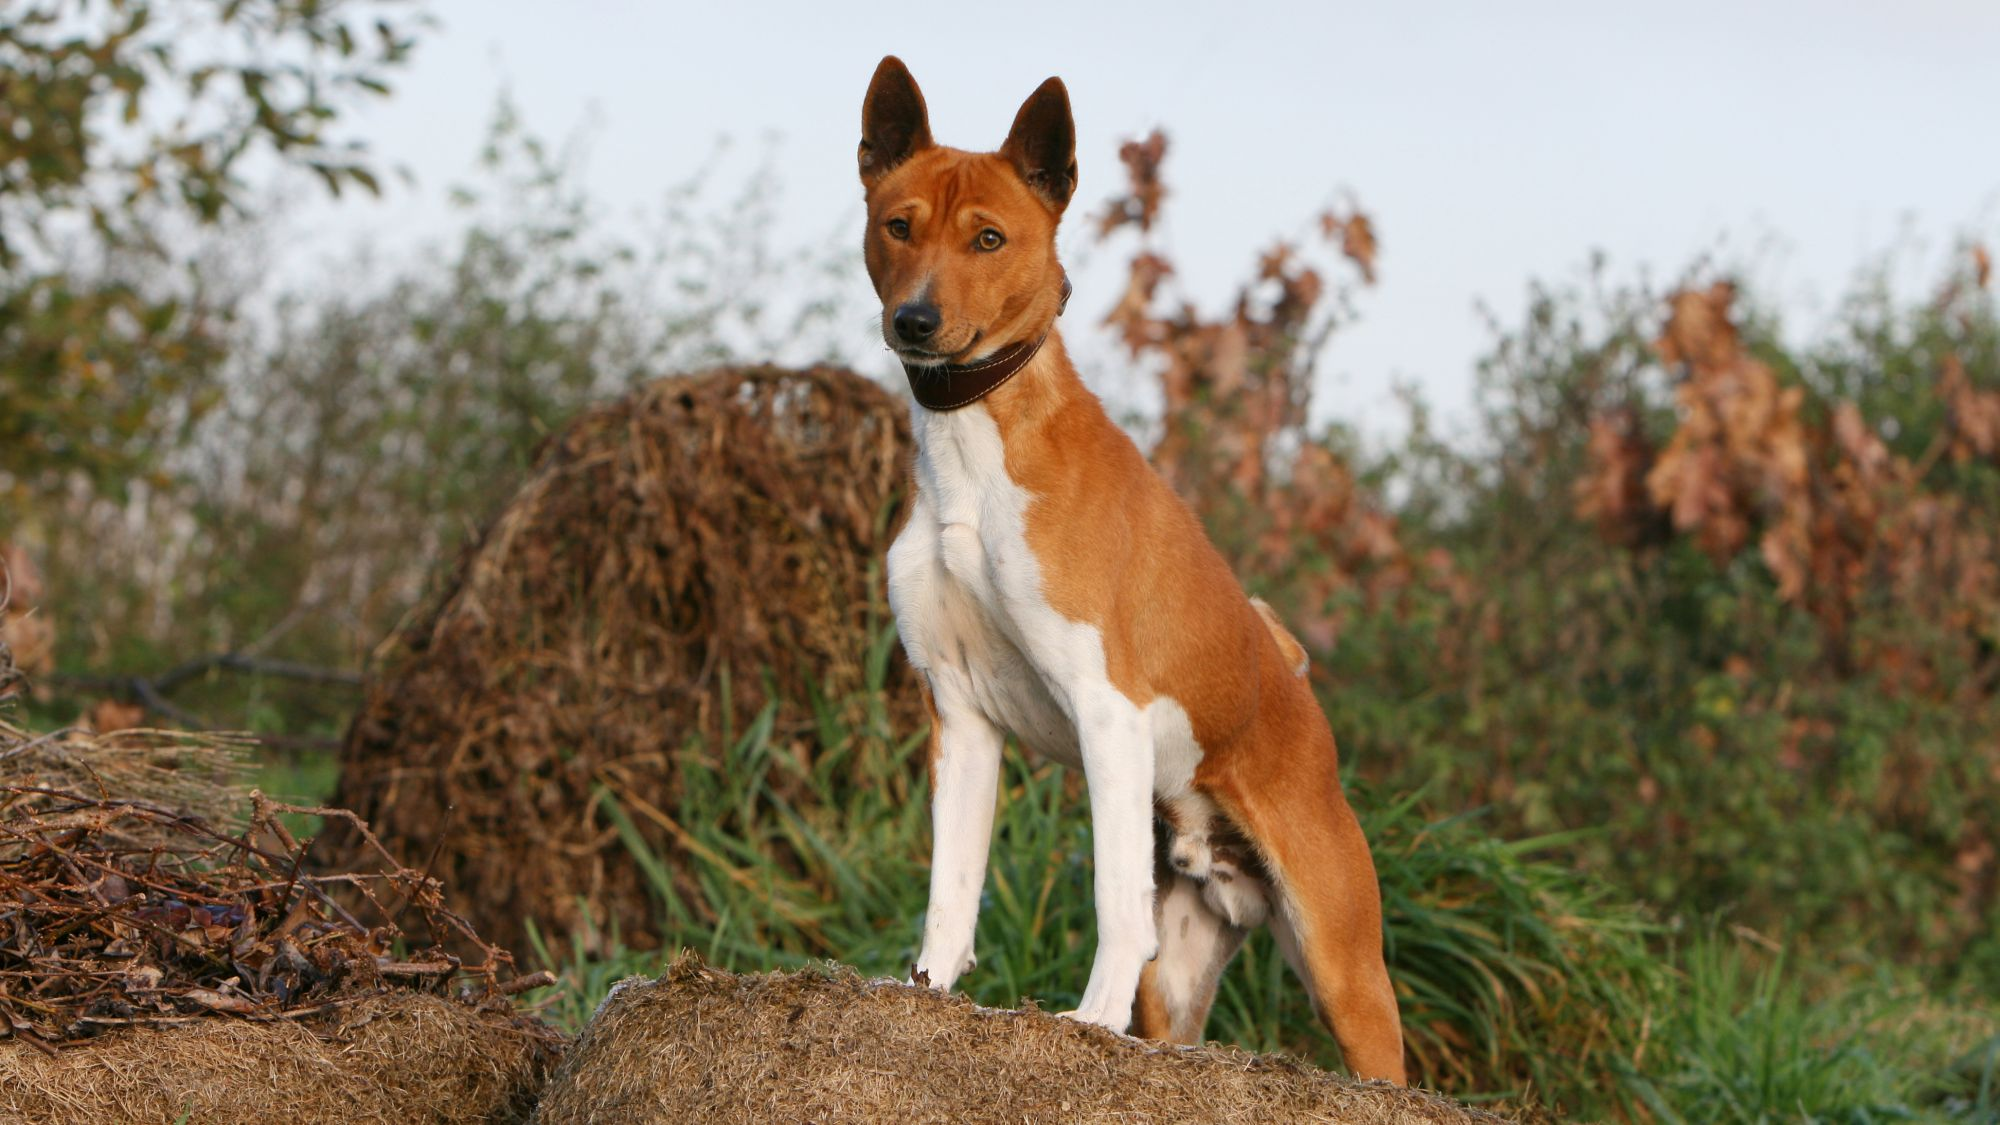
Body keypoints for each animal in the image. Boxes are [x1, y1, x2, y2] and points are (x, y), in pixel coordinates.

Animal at [860, 59, 1408, 1080]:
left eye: (989, 238)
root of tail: (1297, 686)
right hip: (1183, 970)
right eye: (898, 225)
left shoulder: (1104, 707)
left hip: (1342, 964)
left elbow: (1114, 905)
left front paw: (1088, 1021)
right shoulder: (962, 716)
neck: (973, 454)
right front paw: (925, 991)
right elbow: (952, 892)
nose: (916, 321)